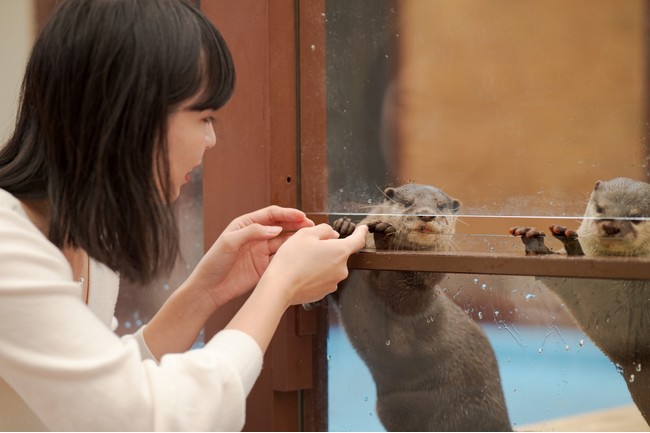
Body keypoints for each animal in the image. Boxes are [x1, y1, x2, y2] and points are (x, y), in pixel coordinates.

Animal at [332, 184, 508, 430]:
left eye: (440, 206)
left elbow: (394, 291)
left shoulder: (415, 290)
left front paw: (385, 236)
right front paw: (344, 229)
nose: (426, 214)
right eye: (408, 202)